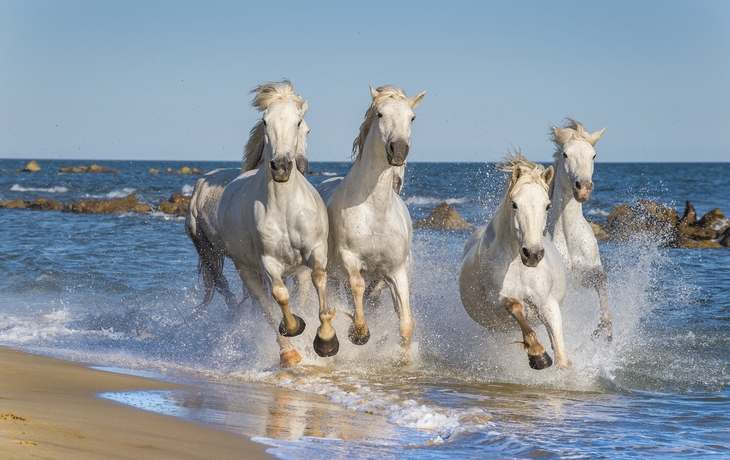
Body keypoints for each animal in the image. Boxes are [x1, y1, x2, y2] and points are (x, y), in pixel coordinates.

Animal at [316, 85, 425, 362]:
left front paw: (404, 360)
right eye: (380, 114)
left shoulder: (396, 271)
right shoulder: (350, 259)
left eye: (412, 117)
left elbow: (406, 322)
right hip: (334, 275)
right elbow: (357, 286)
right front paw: (359, 333)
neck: (376, 212)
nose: (398, 150)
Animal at [459, 154, 572, 370]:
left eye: (547, 205)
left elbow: (561, 352)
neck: (518, 265)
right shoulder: (496, 300)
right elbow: (515, 306)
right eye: (514, 204)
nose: (532, 254)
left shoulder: (547, 303)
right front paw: (538, 355)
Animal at [545, 118, 611, 341]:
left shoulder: (587, 274)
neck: (569, 236)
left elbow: (602, 280)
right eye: (565, 154)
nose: (583, 187)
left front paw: (605, 327)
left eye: (594, 155)